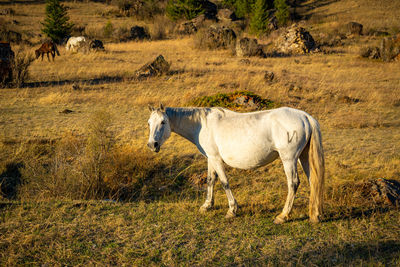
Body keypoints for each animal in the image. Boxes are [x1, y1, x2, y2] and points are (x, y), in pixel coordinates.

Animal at [148, 104, 324, 224]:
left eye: (163, 122)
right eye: (149, 123)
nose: (152, 145)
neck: (202, 125)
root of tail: (305, 116)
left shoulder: (216, 159)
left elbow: (224, 182)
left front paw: (232, 210)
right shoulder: (211, 158)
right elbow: (211, 180)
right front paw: (207, 205)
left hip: (289, 159)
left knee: (293, 183)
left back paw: (283, 216)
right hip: (303, 157)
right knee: (313, 182)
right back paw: (315, 215)